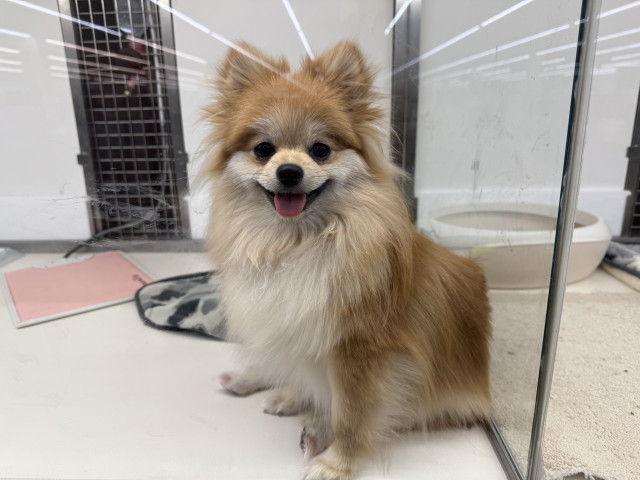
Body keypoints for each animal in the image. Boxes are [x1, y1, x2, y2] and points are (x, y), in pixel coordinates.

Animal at [202, 41, 492, 480]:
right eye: (263, 150)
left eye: (320, 150)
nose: (289, 171)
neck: (299, 244)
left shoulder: (361, 352)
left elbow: (352, 415)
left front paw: (336, 463)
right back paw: (268, 388)